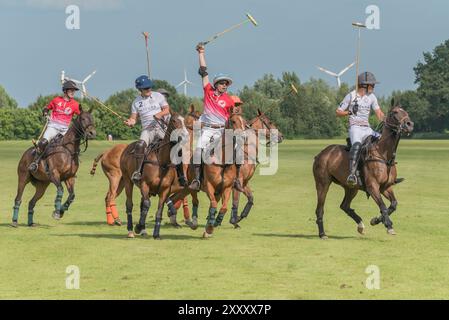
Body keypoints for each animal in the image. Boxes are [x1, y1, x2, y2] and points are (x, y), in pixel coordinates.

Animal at [119, 111, 187, 239]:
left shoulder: (165, 190)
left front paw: (156, 234)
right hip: (127, 180)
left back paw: (143, 230)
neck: (162, 161)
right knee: (130, 204)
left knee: (141, 204)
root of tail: (127, 148)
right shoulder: (145, 184)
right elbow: (146, 205)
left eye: (184, 120)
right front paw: (138, 226)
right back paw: (131, 230)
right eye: (174, 120)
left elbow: (159, 211)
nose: (184, 136)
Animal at [312, 101, 412, 239]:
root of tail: (321, 154)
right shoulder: (372, 186)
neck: (383, 155)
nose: (409, 124)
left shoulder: (385, 187)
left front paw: (376, 220)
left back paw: (360, 226)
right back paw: (322, 234)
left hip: (351, 188)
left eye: (406, 111)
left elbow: (393, 204)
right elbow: (383, 206)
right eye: (395, 113)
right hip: (323, 183)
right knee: (320, 209)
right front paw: (389, 226)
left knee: (345, 206)